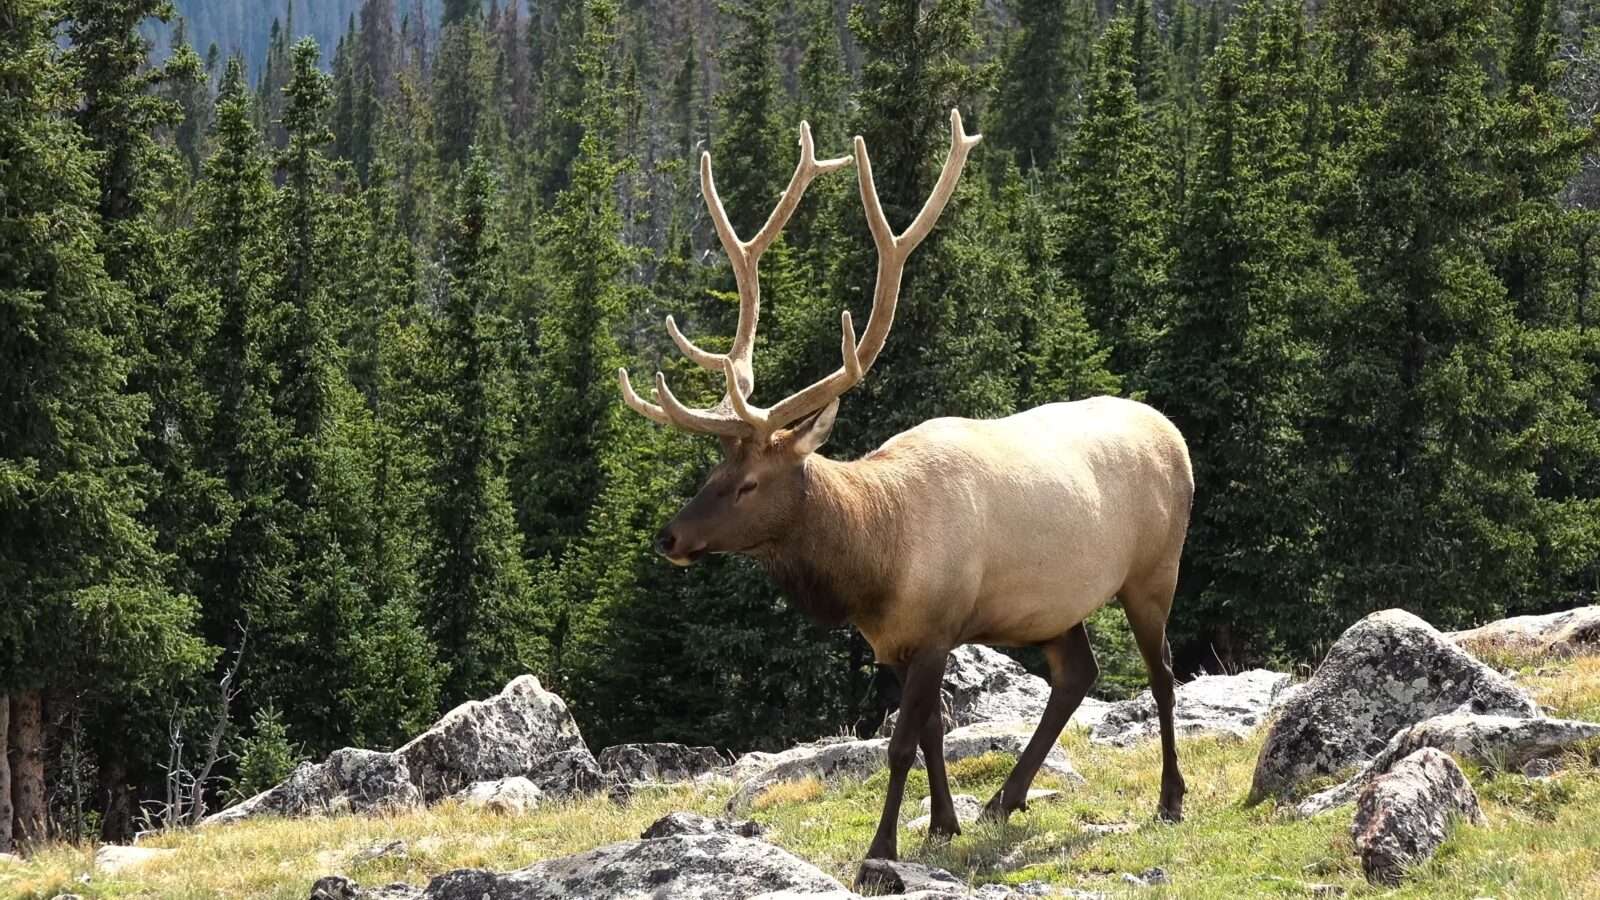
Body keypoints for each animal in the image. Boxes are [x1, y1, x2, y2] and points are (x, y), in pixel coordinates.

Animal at [617, 108, 1196, 877]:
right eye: (709, 473)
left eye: (746, 484)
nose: (670, 537)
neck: (873, 565)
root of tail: (1175, 434)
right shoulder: (897, 642)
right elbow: (929, 734)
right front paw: (944, 824)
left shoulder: (939, 626)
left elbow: (898, 745)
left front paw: (882, 848)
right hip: (1053, 602)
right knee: (1079, 672)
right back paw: (1005, 800)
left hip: (1153, 569)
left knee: (1161, 673)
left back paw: (1170, 798)